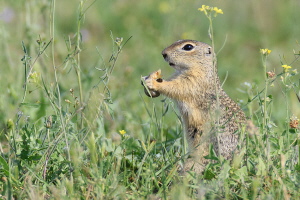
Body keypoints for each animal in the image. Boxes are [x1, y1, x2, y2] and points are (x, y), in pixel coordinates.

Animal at [142, 39, 247, 173]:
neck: (201, 67)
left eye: (188, 47)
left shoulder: (193, 82)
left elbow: (176, 87)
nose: (163, 53)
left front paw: (153, 83)